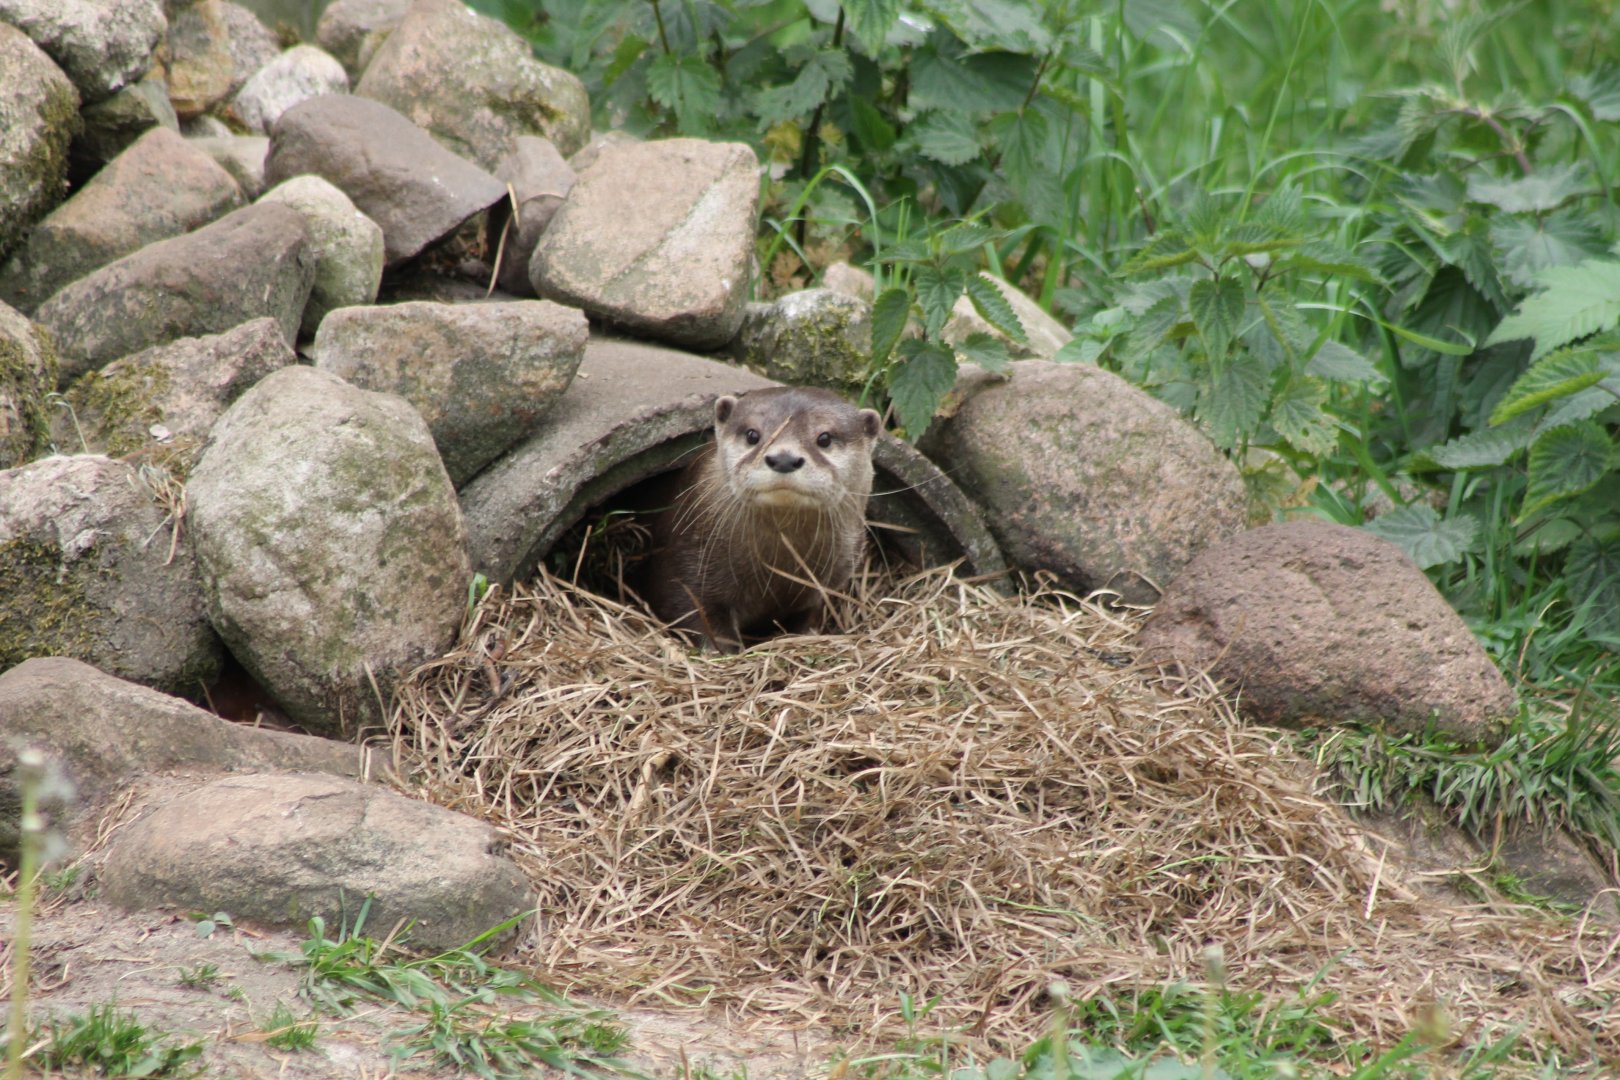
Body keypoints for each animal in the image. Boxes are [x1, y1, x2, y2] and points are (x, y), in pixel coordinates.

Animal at [645, 386, 883, 651]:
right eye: (752, 435)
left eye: (824, 438)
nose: (784, 459)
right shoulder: (683, 565)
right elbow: (691, 611)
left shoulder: (827, 585)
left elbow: (811, 614)